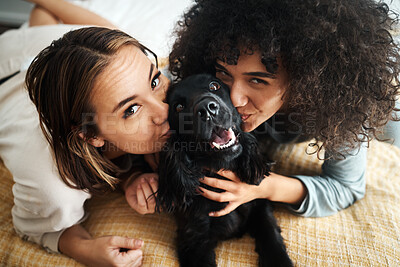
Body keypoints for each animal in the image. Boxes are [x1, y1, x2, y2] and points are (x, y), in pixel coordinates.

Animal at [157, 74, 294, 267]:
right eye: (178, 107)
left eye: (214, 85)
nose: (207, 109)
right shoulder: (194, 239)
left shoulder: (259, 205)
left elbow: (271, 236)